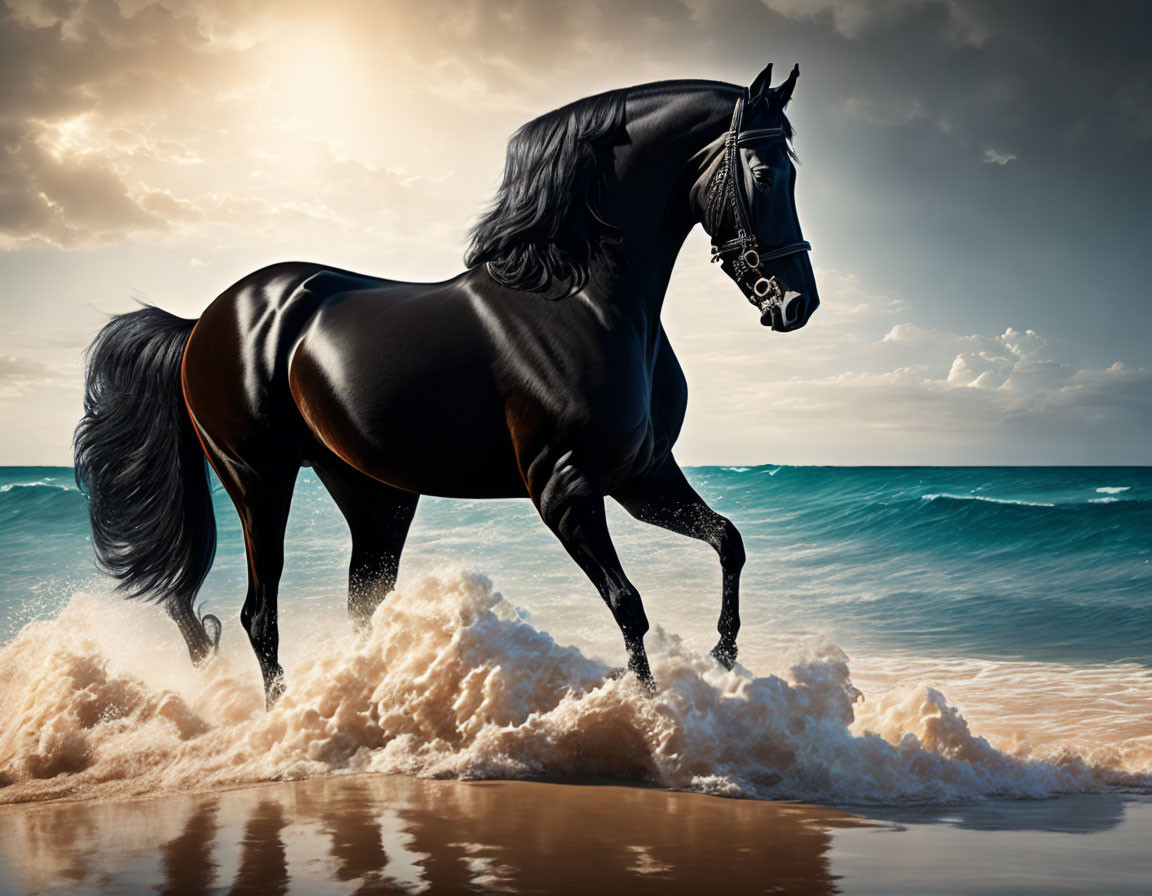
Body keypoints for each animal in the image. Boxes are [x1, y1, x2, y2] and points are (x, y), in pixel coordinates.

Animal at [74, 64, 820, 704]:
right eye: (763, 172)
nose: (795, 304)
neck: (585, 303)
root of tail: (201, 322)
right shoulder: (565, 487)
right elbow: (628, 602)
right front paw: (651, 712)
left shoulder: (639, 475)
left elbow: (728, 541)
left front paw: (723, 659)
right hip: (259, 478)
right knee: (260, 615)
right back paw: (283, 721)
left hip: (374, 495)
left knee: (362, 604)